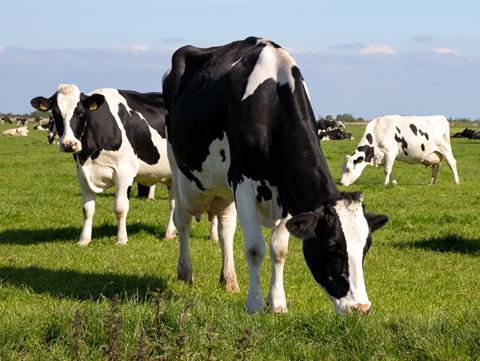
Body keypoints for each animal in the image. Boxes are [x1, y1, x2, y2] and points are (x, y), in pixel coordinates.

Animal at [31, 83, 178, 245]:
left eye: (80, 113)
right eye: (56, 113)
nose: (69, 144)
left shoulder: (124, 173)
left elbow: (120, 208)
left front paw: (121, 240)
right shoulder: (82, 174)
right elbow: (87, 209)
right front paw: (84, 240)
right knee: (173, 203)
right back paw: (170, 234)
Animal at [163, 35, 388, 314]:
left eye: (366, 246)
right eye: (332, 247)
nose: (361, 307)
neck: (271, 102)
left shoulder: (286, 191)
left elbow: (279, 250)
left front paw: (278, 303)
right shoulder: (243, 183)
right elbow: (255, 248)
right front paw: (255, 305)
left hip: (223, 187)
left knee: (226, 228)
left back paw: (229, 280)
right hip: (179, 170)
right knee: (182, 219)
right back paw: (185, 272)